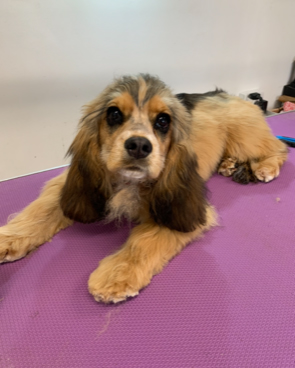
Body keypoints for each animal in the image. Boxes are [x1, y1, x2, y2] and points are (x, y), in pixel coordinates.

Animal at [0, 74, 288, 302]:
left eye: (163, 121)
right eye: (114, 114)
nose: (139, 146)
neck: (128, 181)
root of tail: (227, 93)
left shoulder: (175, 202)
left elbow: (145, 240)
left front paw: (118, 273)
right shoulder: (73, 183)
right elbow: (40, 210)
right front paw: (8, 238)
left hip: (245, 135)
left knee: (279, 148)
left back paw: (265, 167)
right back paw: (229, 164)